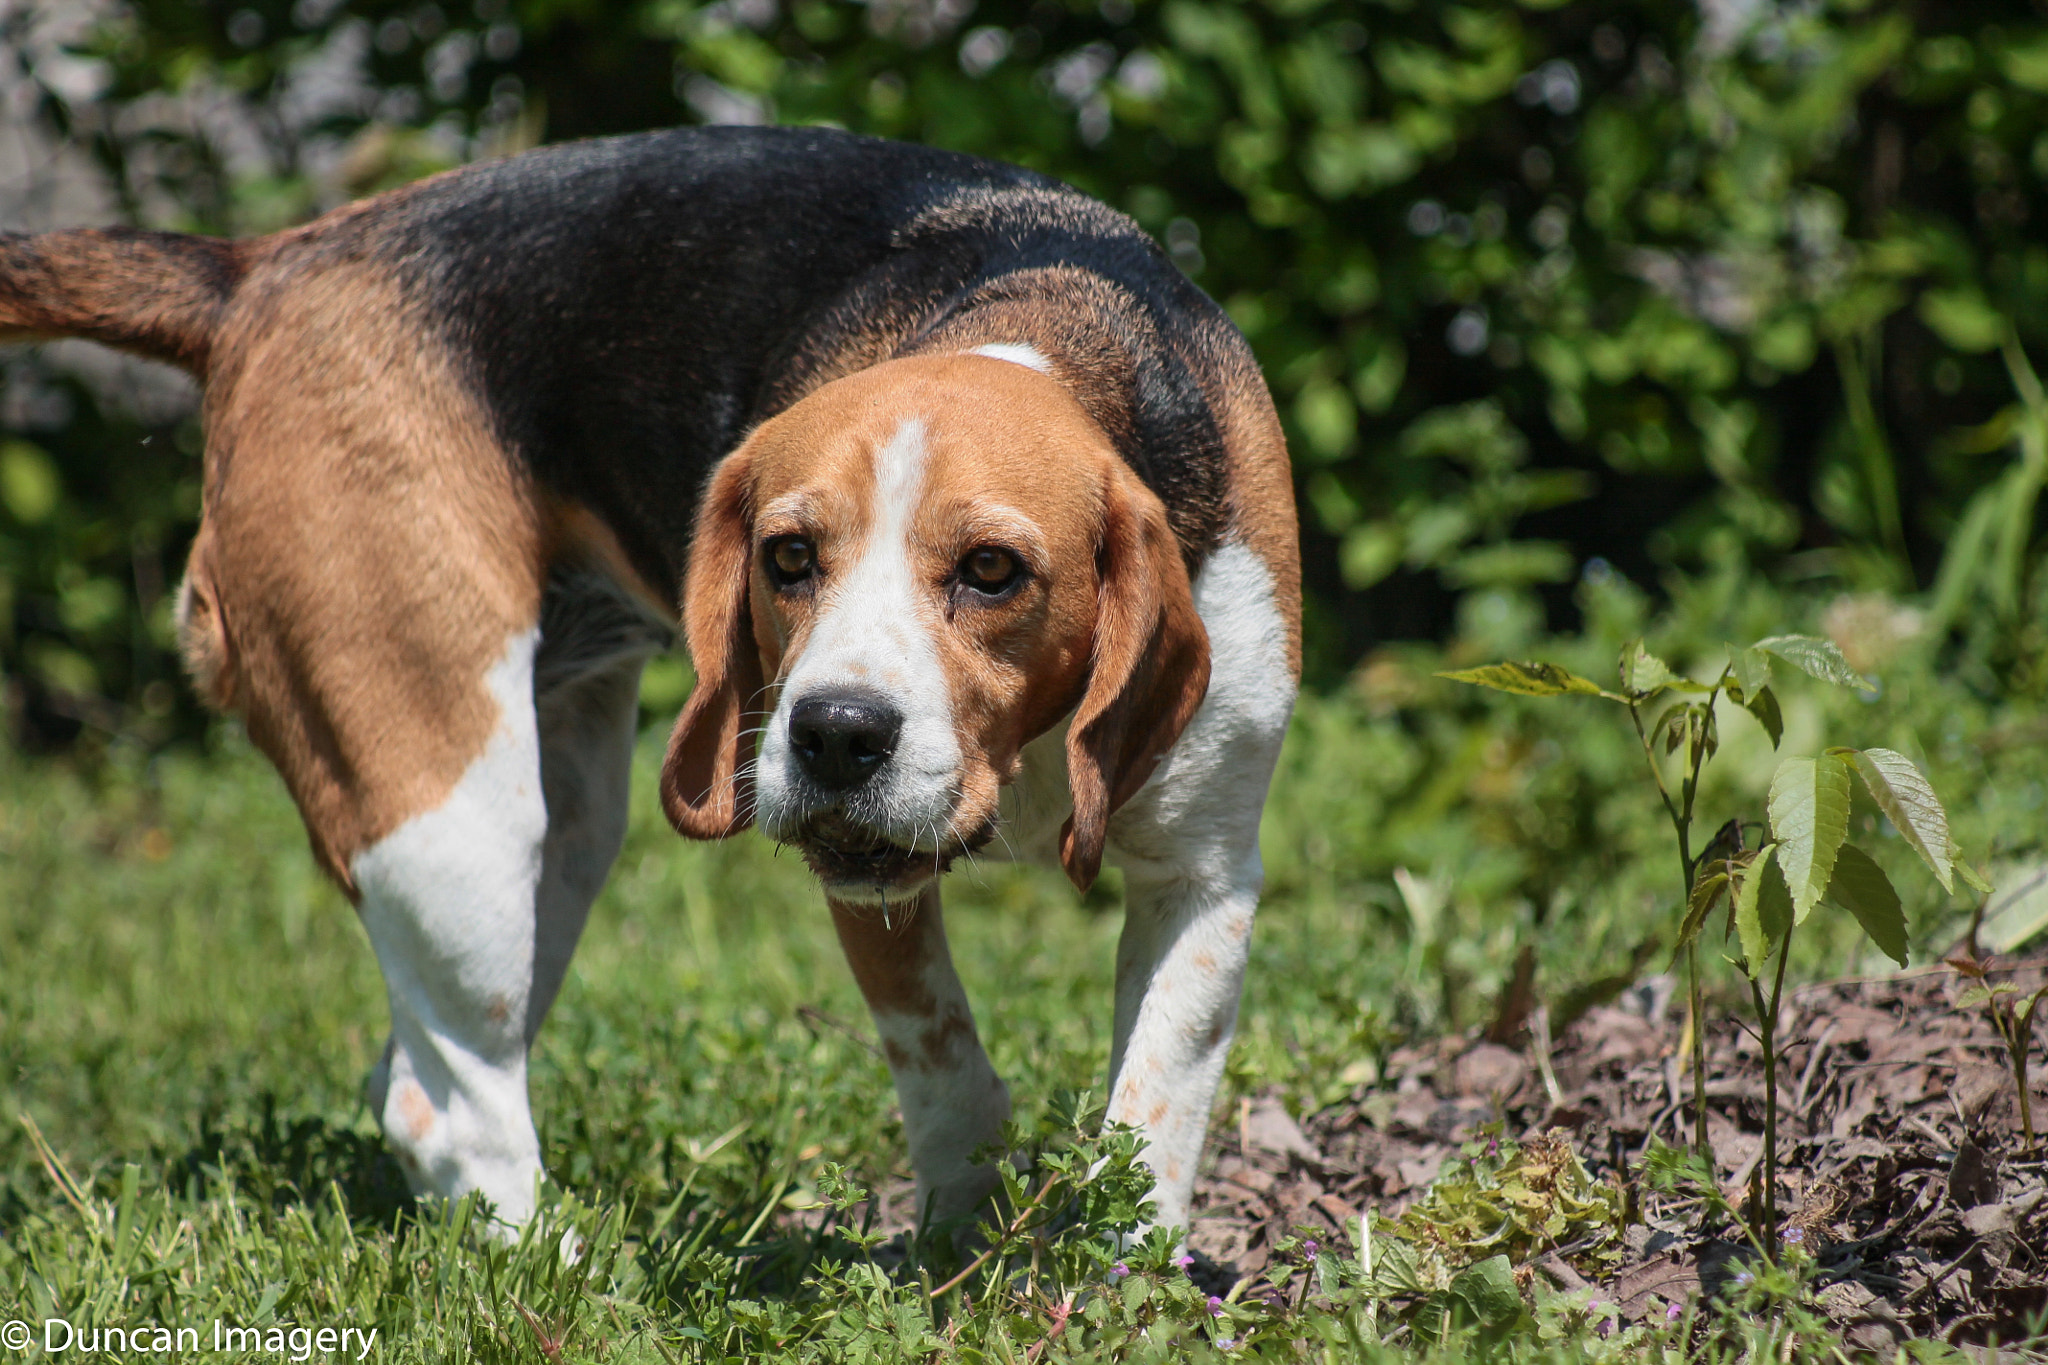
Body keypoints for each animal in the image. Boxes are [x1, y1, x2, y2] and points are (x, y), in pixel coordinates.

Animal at [0, 127, 1302, 1236]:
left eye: (992, 571)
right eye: (788, 556)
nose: (833, 736)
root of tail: (269, 265)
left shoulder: (1205, 881)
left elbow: (1146, 1119)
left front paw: (1117, 1280)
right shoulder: (865, 884)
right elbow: (949, 1075)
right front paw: (961, 1252)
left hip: (563, 834)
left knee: (413, 1073)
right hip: (449, 814)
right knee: (445, 1110)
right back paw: (561, 1277)